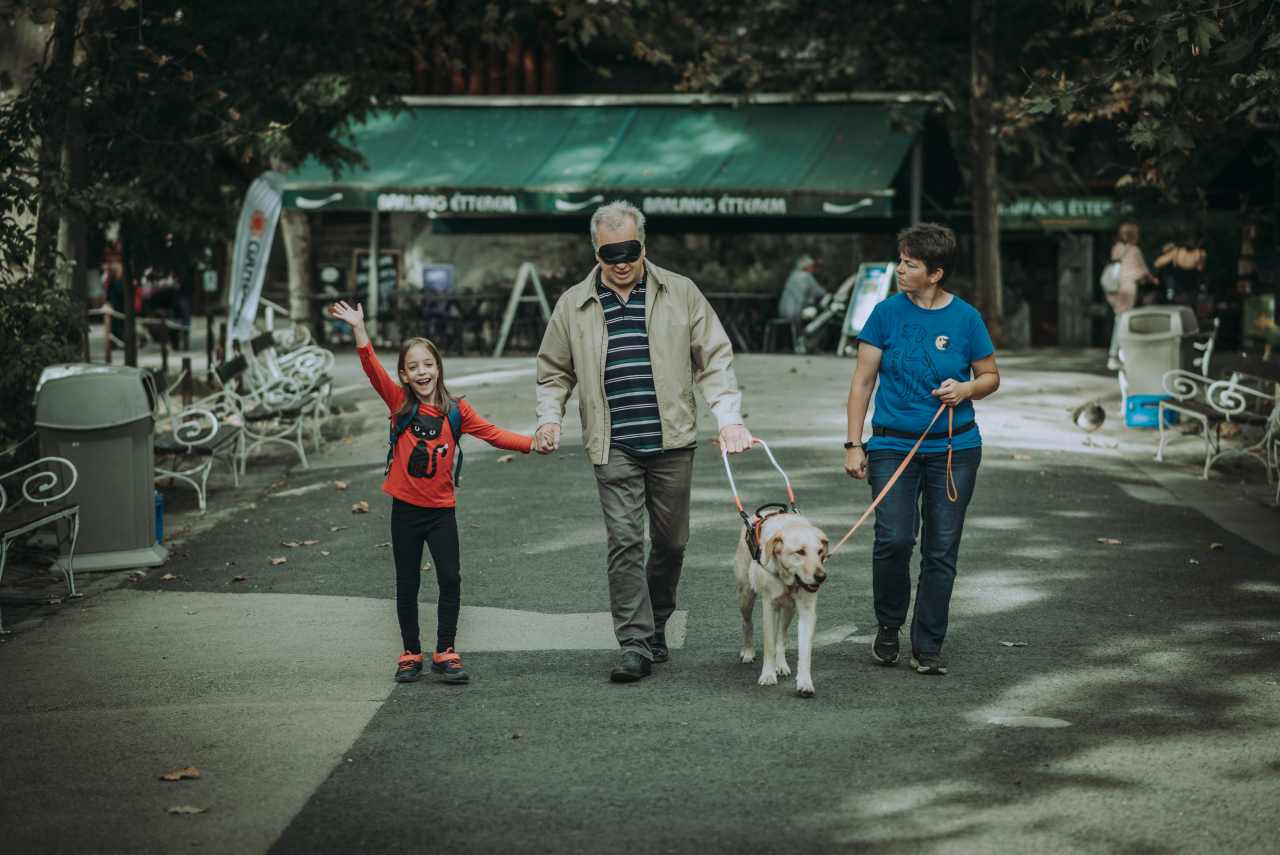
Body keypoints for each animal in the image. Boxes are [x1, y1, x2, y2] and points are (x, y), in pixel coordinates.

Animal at [735, 511, 829, 698]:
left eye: (820, 551)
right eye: (800, 552)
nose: (821, 577)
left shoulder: (807, 612)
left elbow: (804, 651)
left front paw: (805, 683)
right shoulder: (769, 607)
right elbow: (769, 644)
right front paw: (768, 675)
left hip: (788, 609)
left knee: (781, 635)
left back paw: (781, 664)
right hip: (746, 595)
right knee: (747, 623)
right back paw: (748, 651)